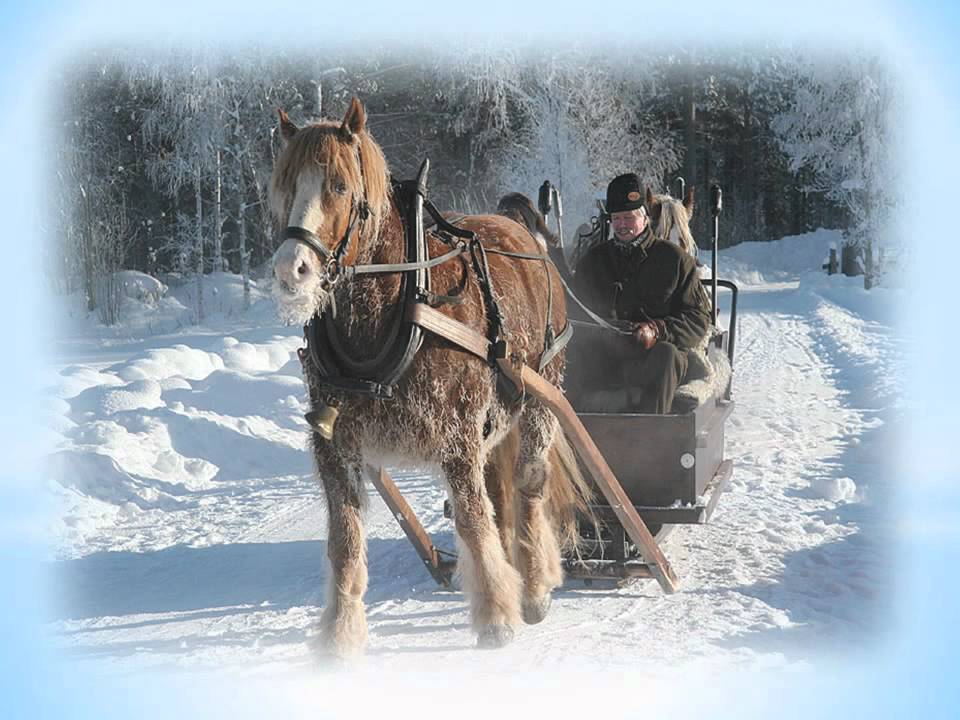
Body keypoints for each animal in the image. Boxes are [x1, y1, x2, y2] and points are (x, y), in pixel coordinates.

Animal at [266, 97, 588, 660]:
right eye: (284, 185)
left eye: (340, 187)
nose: (291, 269)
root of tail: (522, 231)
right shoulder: (334, 445)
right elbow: (344, 542)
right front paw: (339, 634)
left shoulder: (457, 436)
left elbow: (473, 522)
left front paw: (495, 616)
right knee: (499, 490)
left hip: (540, 396)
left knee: (528, 485)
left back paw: (532, 584)